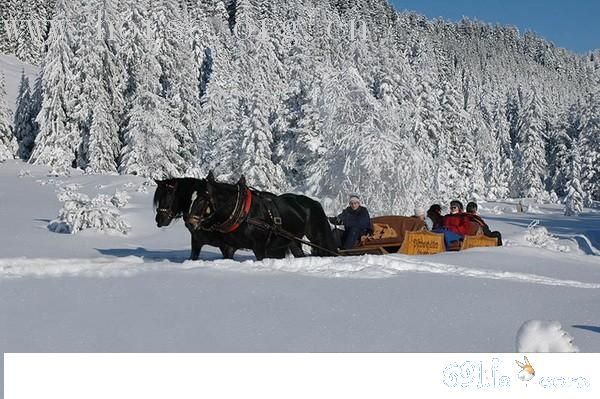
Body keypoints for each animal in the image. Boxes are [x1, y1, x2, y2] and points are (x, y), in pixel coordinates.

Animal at [188, 173, 338, 260]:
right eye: (191, 198)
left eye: (202, 199)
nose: (190, 223)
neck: (242, 213)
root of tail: (314, 202)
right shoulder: (228, 247)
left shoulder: (259, 247)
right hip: (293, 241)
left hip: (317, 237)